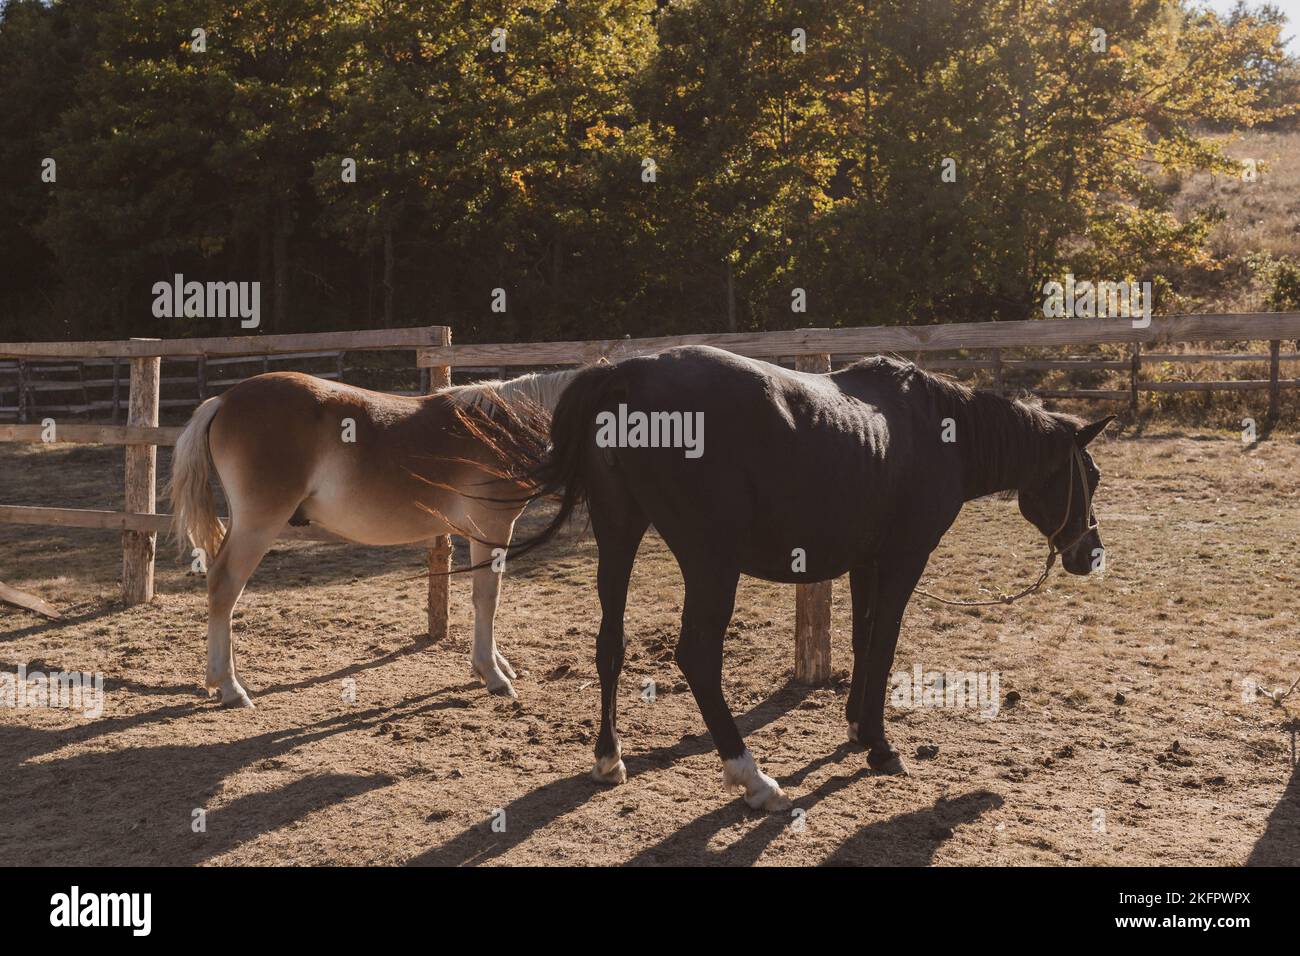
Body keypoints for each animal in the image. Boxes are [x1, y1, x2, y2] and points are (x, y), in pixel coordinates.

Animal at [167, 367, 573, 708]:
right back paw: (230, 687)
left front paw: (493, 664)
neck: (501, 428)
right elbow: (488, 598)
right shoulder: (492, 529)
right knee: (224, 586)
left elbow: (483, 597)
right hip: (258, 525)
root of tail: (224, 400)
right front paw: (492, 674)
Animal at [494, 345, 1113, 811]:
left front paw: (857, 728)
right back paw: (753, 778)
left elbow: (863, 641)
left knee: (611, 643)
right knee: (698, 657)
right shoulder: (904, 559)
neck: (938, 432)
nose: (1091, 554)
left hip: (618, 537)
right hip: (709, 562)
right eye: (1092, 475)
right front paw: (880, 746)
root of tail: (627, 372)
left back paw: (609, 758)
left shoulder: (867, 562)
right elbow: (883, 644)